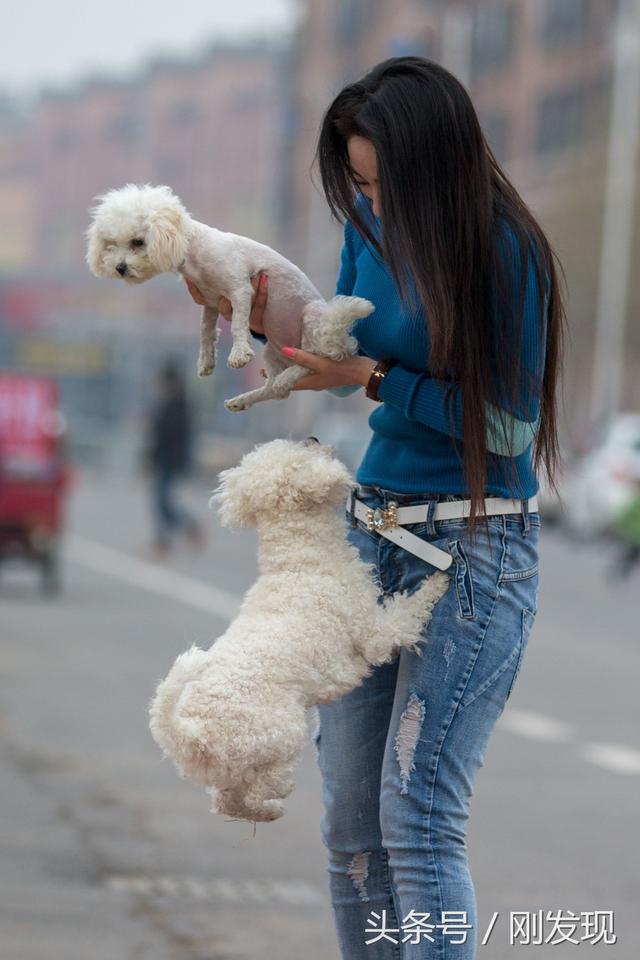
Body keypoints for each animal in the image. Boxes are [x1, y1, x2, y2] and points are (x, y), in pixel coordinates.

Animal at [86, 186, 376, 410]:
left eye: (138, 242)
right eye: (111, 244)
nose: (119, 267)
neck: (194, 252)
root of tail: (341, 340)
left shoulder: (240, 290)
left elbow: (237, 324)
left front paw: (238, 355)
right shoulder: (210, 302)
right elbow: (205, 331)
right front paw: (206, 362)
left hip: (315, 323)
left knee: (314, 362)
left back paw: (290, 374)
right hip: (273, 351)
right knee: (275, 390)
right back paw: (243, 399)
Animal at [149, 440, 450, 824]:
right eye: (297, 451)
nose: (314, 439)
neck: (300, 560)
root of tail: (189, 732)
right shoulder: (373, 634)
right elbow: (406, 614)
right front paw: (439, 579)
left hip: (231, 766)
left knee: (227, 803)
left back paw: (267, 811)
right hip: (282, 733)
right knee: (261, 784)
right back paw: (277, 796)